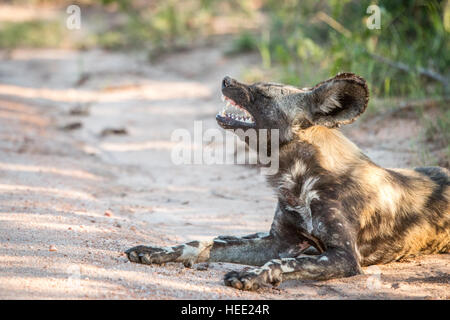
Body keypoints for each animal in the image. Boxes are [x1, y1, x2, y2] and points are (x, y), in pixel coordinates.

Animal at [126, 74, 450, 292]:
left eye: (263, 95)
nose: (226, 79)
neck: (300, 181)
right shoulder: (276, 243)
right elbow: (199, 242)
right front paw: (157, 251)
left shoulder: (344, 257)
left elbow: (284, 263)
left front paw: (250, 276)